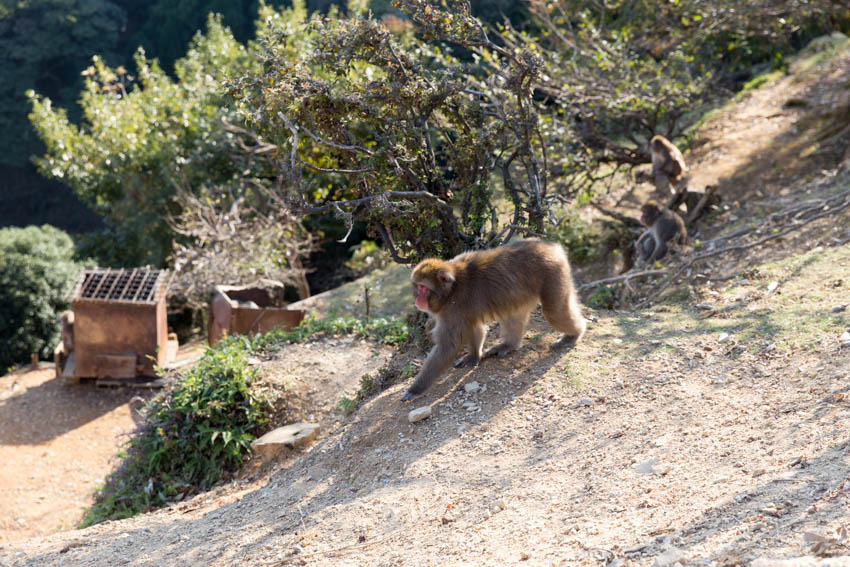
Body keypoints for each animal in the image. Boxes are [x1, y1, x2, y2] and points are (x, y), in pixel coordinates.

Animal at [402, 237, 588, 402]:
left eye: (423, 288)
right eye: (417, 286)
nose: (418, 299)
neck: (451, 290)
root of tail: (552, 247)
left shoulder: (452, 310)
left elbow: (448, 347)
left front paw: (415, 389)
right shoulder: (459, 311)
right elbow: (475, 328)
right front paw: (473, 357)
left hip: (553, 273)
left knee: (554, 312)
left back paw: (575, 334)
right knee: (513, 315)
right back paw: (509, 345)